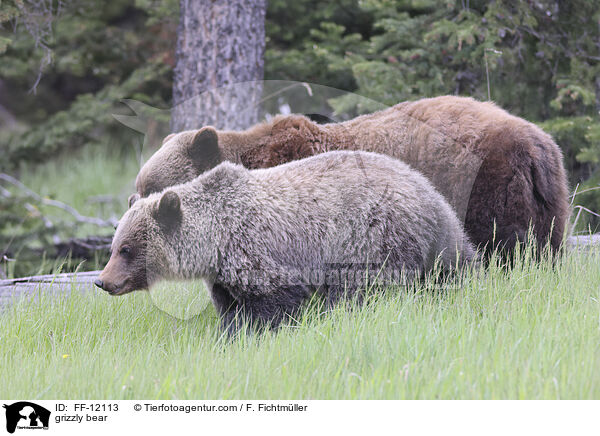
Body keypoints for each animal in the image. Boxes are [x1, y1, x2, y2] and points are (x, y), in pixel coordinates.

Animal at [97, 150, 474, 330]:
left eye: (127, 249)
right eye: (114, 247)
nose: (102, 281)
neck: (216, 241)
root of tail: (430, 195)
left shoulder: (261, 252)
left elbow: (274, 305)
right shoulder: (224, 275)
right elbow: (230, 308)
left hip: (371, 236)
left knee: (360, 289)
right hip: (435, 243)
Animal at [132, 95, 572, 255]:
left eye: (153, 187)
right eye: (135, 189)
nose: (126, 222)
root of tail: (538, 144)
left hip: (485, 183)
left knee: (502, 243)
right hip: (551, 198)